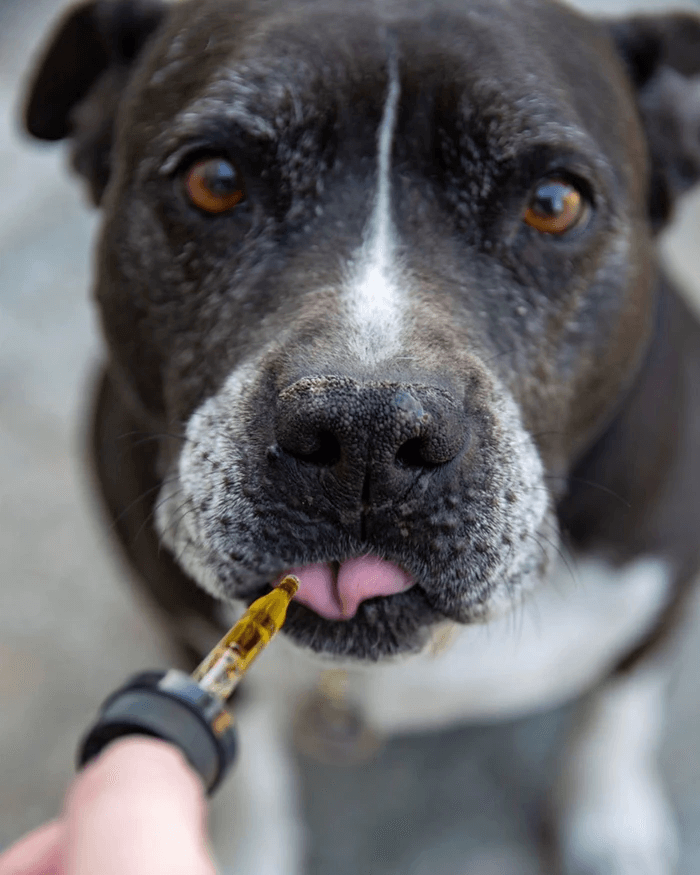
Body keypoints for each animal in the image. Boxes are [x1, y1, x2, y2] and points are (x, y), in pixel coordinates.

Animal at [24, 3, 700, 872]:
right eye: (216, 182)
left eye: (553, 202)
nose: (367, 431)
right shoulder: (191, 633)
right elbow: (252, 771)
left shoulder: (663, 591)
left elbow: (620, 706)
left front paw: (610, 822)